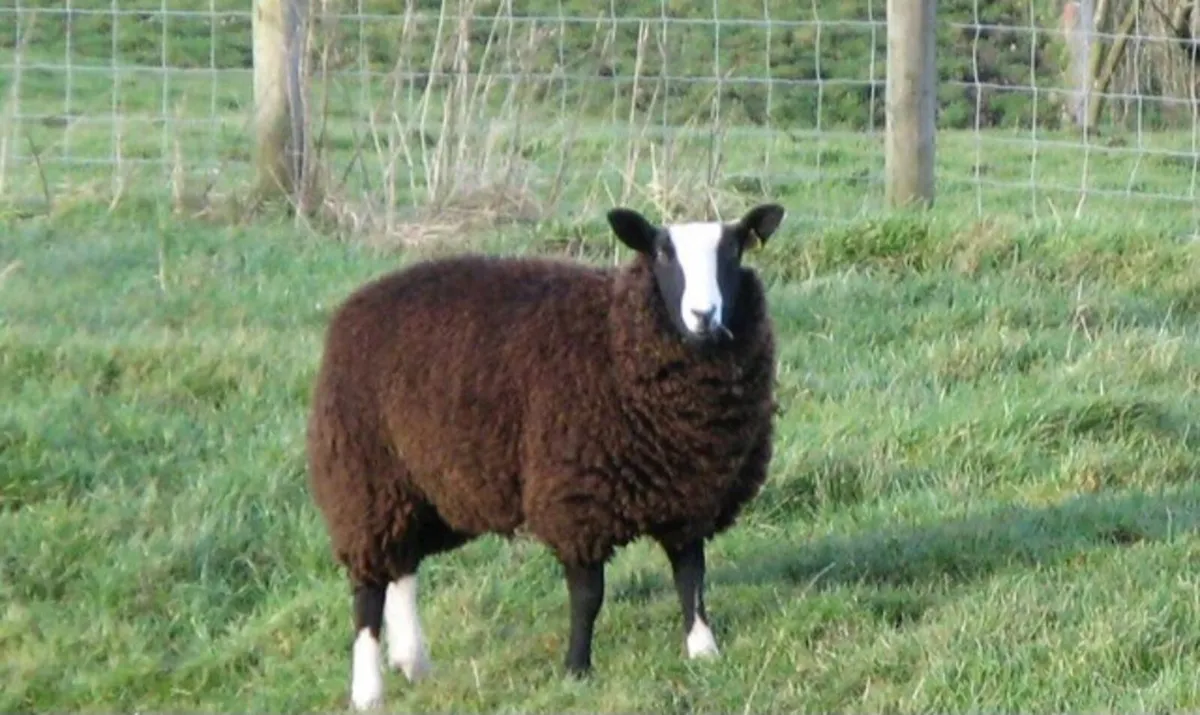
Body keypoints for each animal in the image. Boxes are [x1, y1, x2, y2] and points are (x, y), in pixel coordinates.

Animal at [306, 202, 786, 710]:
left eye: (734, 251)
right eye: (662, 254)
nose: (703, 315)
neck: (613, 338)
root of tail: (358, 302)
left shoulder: (689, 493)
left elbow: (691, 575)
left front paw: (703, 651)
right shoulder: (577, 500)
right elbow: (588, 594)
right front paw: (577, 668)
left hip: (423, 489)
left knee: (402, 565)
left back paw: (412, 660)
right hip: (364, 479)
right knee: (368, 590)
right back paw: (367, 689)